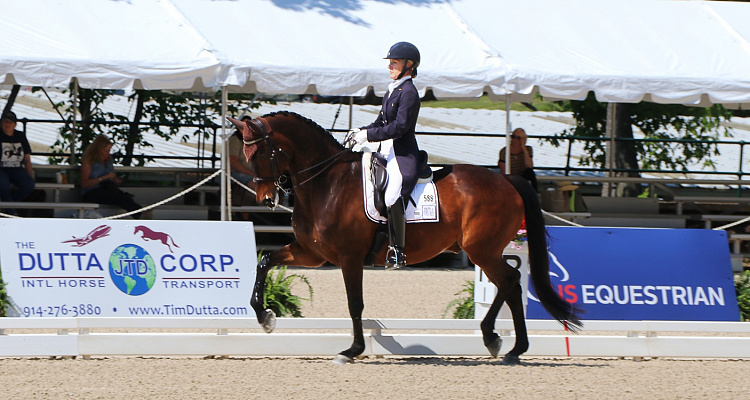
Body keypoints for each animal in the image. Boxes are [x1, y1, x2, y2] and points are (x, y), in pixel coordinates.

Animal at [228, 111, 580, 364]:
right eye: (245, 154)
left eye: (258, 153)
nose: (264, 199)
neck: (326, 182)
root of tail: (506, 179)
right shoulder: (310, 254)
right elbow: (264, 261)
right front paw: (265, 317)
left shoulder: (348, 257)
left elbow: (355, 303)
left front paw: (352, 350)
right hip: (483, 250)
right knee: (510, 281)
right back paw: (505, 345)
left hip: (482, 249)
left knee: (509, 280)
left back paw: (503, 344)